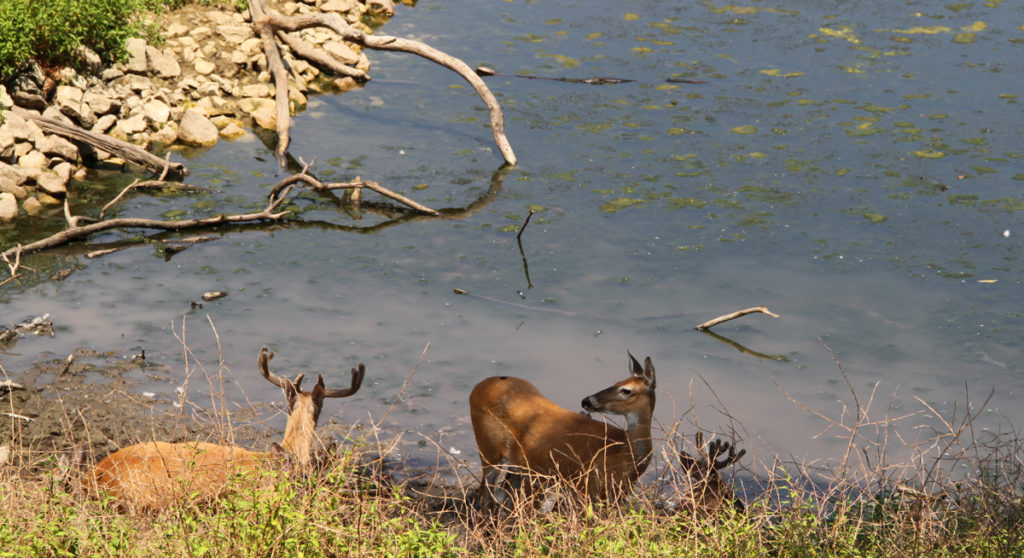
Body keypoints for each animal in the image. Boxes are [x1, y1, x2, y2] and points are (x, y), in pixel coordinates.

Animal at [468, 350, 655, 511]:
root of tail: (477, 388)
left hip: (518, 466)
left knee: (506, 496)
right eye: (617, 383)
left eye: (626, 390)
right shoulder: (585, 487)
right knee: (486, 494)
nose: (586, 400)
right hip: (488, 450)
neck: (625, 453)